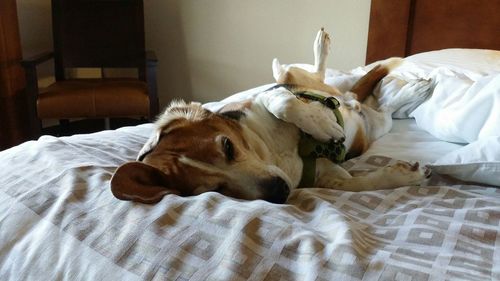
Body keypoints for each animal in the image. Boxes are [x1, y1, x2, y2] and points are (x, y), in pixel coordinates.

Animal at [111, 29, 432, 203]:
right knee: (384, 109)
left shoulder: (262, 97)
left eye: (227, 146)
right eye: (215, 190)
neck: (272, 154)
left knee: (305, 74)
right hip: (375, 128)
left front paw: (323, 125)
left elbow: (281, 101)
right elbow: (361, 183)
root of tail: (351, 98)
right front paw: (406, 175)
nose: (279, 192)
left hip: (301, 81)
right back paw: (411, 92)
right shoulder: (331, 177)